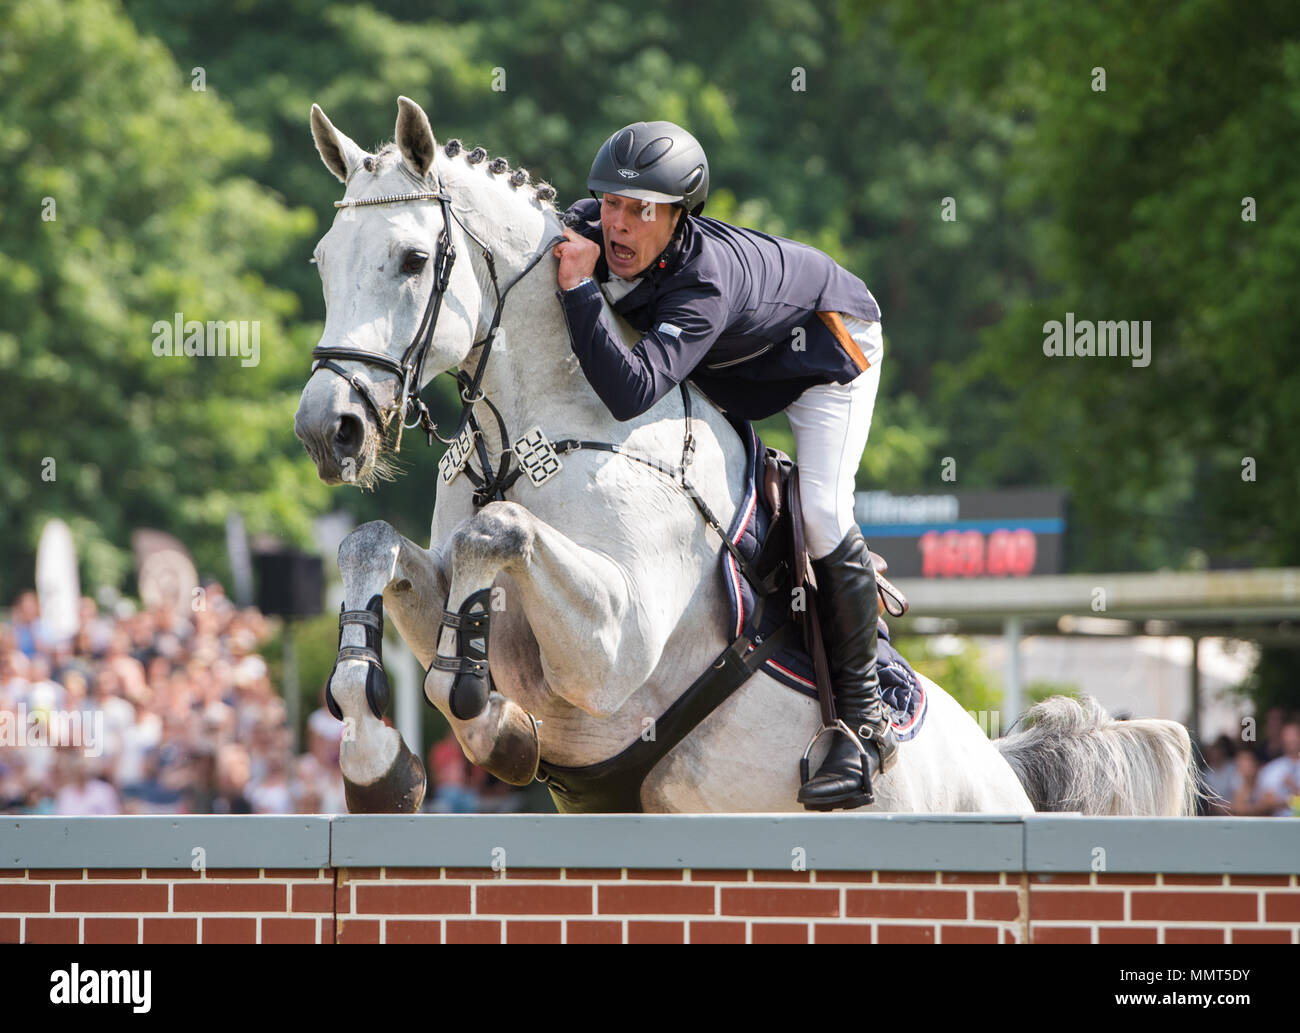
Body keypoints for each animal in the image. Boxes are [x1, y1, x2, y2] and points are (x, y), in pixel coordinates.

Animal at [292, 100, 1196, 821]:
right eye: (323, 261)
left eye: (413, 260)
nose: (327, 430)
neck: (527, 439)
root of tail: (1005, 772)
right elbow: (373, 543)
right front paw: (379, 766)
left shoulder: (614, 650)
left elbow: (498, 537)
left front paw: (492, 725)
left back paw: (853, 749)